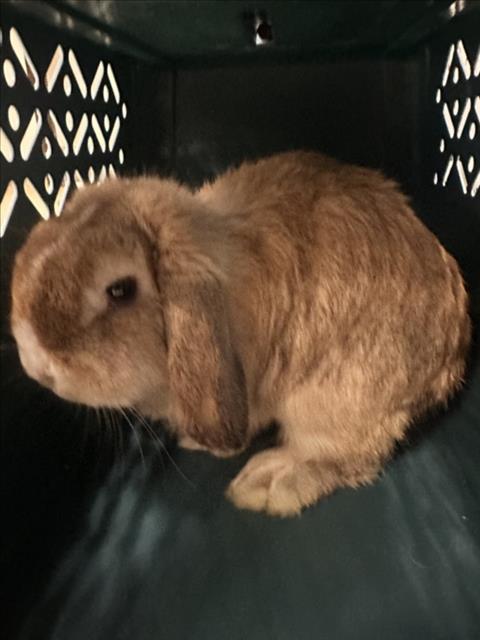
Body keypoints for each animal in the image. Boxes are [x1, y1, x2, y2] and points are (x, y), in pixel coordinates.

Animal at [10, 151, 471, 516]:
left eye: (120, 290)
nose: (36, 366)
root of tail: (452, 360)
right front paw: (195, 441)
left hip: (334, 400)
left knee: (345, 455)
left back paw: (269, 482)